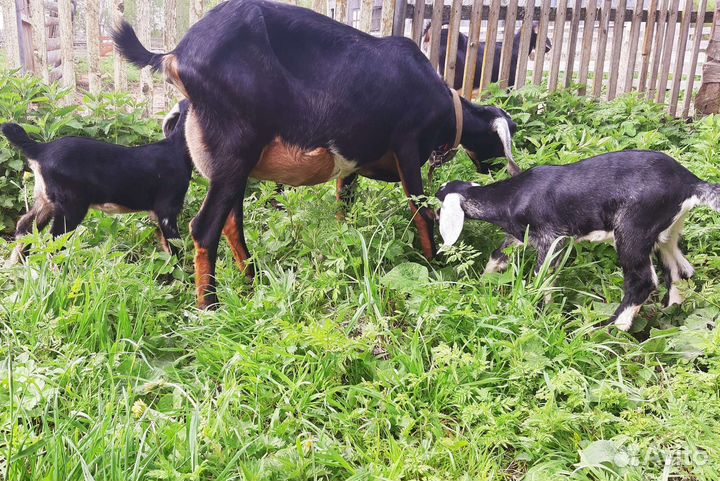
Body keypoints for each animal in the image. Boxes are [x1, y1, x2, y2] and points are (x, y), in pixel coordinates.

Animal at [2, 100, 192, 262]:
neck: (176, 148)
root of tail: (41, 149)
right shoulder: (166, 210)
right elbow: (174, 246)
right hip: (71, 205)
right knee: (55, 240)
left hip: (45, 199)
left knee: (25, 227)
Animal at [113, 0, 517, 309]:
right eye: (501, 142)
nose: (500, 173)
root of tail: (175, 54)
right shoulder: (407, 144)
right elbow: (421, 211)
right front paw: (434, 264)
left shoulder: (353, 158)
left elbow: (344, 202)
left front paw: (343, 240)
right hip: (235, 149)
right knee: (205, 227)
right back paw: (209, 307)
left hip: (233, 163)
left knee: (231, 222)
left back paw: (252, 280)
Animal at [436, 150, 720, 331]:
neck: (512, 195)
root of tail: (690, 183)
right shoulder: (522, 235)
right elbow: (498, 254)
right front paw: (483, 283)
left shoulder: (552, 239)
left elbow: (541, 278)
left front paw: (539, 313)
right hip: (666, 233)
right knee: (681, 270)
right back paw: (671, 309)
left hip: (633, 228)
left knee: (643, 280)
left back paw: (611, 328)